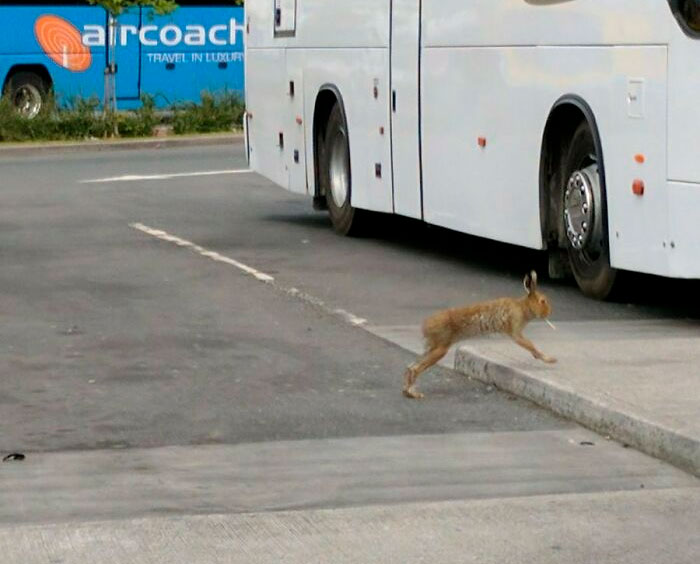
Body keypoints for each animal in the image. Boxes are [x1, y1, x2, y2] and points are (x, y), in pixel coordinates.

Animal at [403, 271, 556, 399]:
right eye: (542, 301)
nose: (549, 312)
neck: (523, 307)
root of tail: (426, 326)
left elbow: (530, 346)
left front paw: (543, 358)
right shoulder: (516, 332)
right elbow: (529, 344)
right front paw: (550, 359)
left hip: (432, 347)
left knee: (410, 366)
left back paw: (408, 391)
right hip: (440, 348)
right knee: (415, 368)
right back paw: (414, 394)